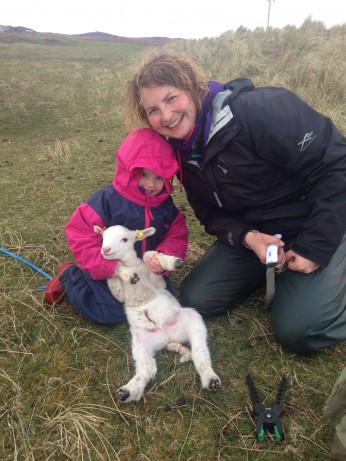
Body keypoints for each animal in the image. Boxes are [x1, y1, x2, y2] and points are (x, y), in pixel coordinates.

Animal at [93, 225, 220, 400]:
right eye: (103, 237)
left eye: (125, 239)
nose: (105, 250)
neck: (131, 264)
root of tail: (168, 337)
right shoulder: (119, 295)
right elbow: (113, 277)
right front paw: (128, 274)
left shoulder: (157, 282)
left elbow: (147, 255)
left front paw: (172, 262)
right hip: (141, 340)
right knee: (147, 369)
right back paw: (128, 391)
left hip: (192, 318)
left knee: (200, 352)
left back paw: (210, 379)